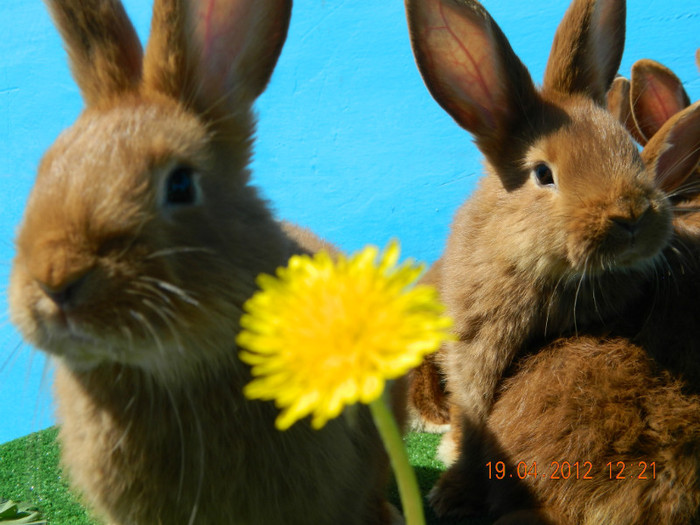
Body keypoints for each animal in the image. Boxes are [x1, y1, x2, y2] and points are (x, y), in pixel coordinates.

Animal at [404, 0, 672, 512]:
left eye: (628, 148)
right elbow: (472, 425)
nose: (631, 216)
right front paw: (449, 495)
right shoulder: (472, 358)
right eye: (543, 174)